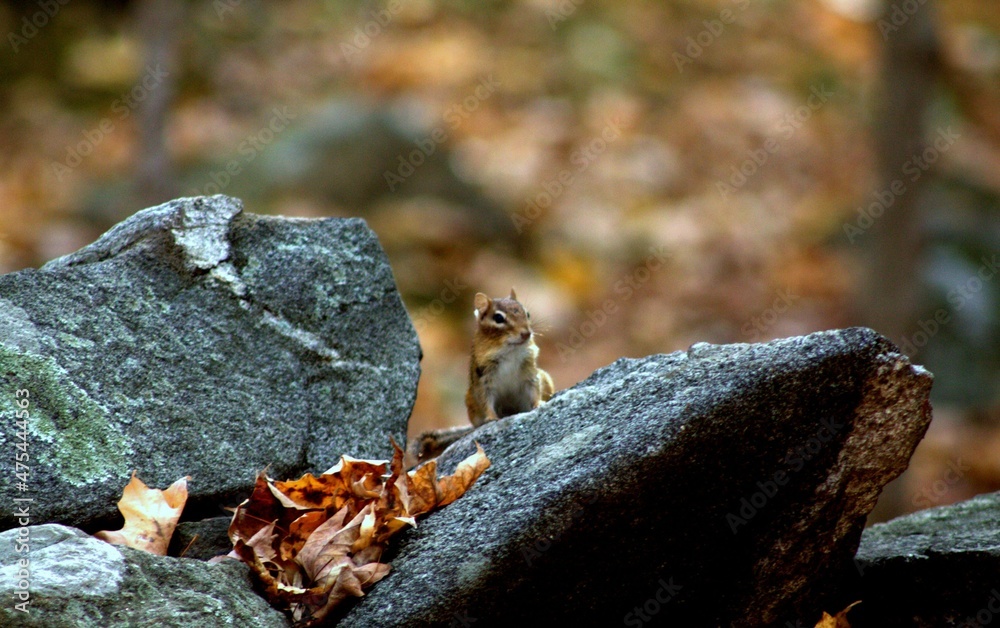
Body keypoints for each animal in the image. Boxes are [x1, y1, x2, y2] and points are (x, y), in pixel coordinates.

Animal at [405, 289, 554, 467]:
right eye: (498, 318)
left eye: (527, 313)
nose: (526, 333)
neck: (510, 350)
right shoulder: (484, 379)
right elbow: (486, 399)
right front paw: (491, 418)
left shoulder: (530, 372)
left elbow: (533, 388)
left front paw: (538, 404)